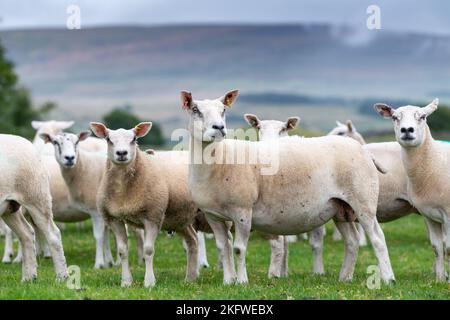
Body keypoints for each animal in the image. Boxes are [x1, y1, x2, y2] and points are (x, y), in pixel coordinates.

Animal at [0, 134, 67, 282]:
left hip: (36, 197)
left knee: (53, 234)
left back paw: (61, 276)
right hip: (9, 206)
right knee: (26, 234)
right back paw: (29, 278)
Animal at [89, 122, 199, 288]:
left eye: (134, 139)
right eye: (108, 139)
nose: (122, 153)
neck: (124, 193)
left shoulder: (153, 216)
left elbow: (148, 250)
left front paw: (149, 282)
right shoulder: (114, 219)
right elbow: (122, 251)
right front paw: (126, 282)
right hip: (180, 217)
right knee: (193, 241)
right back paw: (190, 278)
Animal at [179, 89, 394, 284]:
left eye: (223, 110)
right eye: (195, 109)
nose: (219, 127)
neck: (218, 161)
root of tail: (364, 151)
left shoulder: (243, 212)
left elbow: (239, 248)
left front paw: (242, 282)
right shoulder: (213, 215)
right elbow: (223, 247)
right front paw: (228, 281)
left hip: (363, 201)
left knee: (377, 237)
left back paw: (387, 278)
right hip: (340, 208)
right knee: (352, 240)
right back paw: (345, 277)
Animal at [372, 99, 450, 282]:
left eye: (422, 116)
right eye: (394, 117)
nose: (407, 130)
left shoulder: (448, 214)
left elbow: (449, 248)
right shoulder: (430, 214)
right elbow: (437, 247)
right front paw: (440, 280)